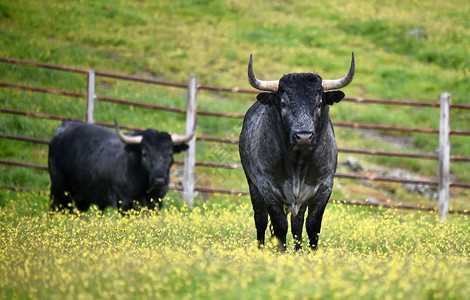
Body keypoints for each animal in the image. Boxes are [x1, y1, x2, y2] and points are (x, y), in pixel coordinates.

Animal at [48, 119, 195, 213]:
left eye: (170, 154)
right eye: (144, 153)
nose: (159, 180)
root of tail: (65, 126)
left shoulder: (157, 202)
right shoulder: (124, 202)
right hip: (60, 188)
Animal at [241, 52, 354, 251]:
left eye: (319, 104)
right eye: (283, 104)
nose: (304, 136)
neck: (298, 162)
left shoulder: (325, 186)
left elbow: (311, 225)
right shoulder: (266, 186)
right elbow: (279, 226)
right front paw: (280, 252)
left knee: (297, 223)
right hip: (252, 184)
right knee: (260, 219)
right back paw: (261, 249)